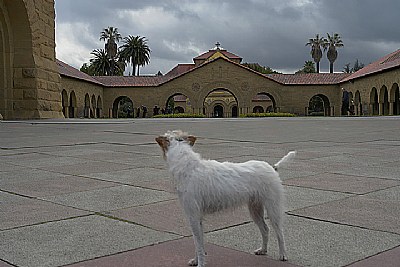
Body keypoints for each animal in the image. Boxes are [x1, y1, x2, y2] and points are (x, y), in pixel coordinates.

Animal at [155, 131, 294, 266]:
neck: (188, 166)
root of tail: (272, 167)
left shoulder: (193, 216)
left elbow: (198, 244)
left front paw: (200, 263)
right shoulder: (197, 218)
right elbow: (199, 242)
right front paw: (196, 261)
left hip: (273, 209)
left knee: (279, 233)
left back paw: (283, 254)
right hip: (255, 210)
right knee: (265, 229)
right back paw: (263, 250)